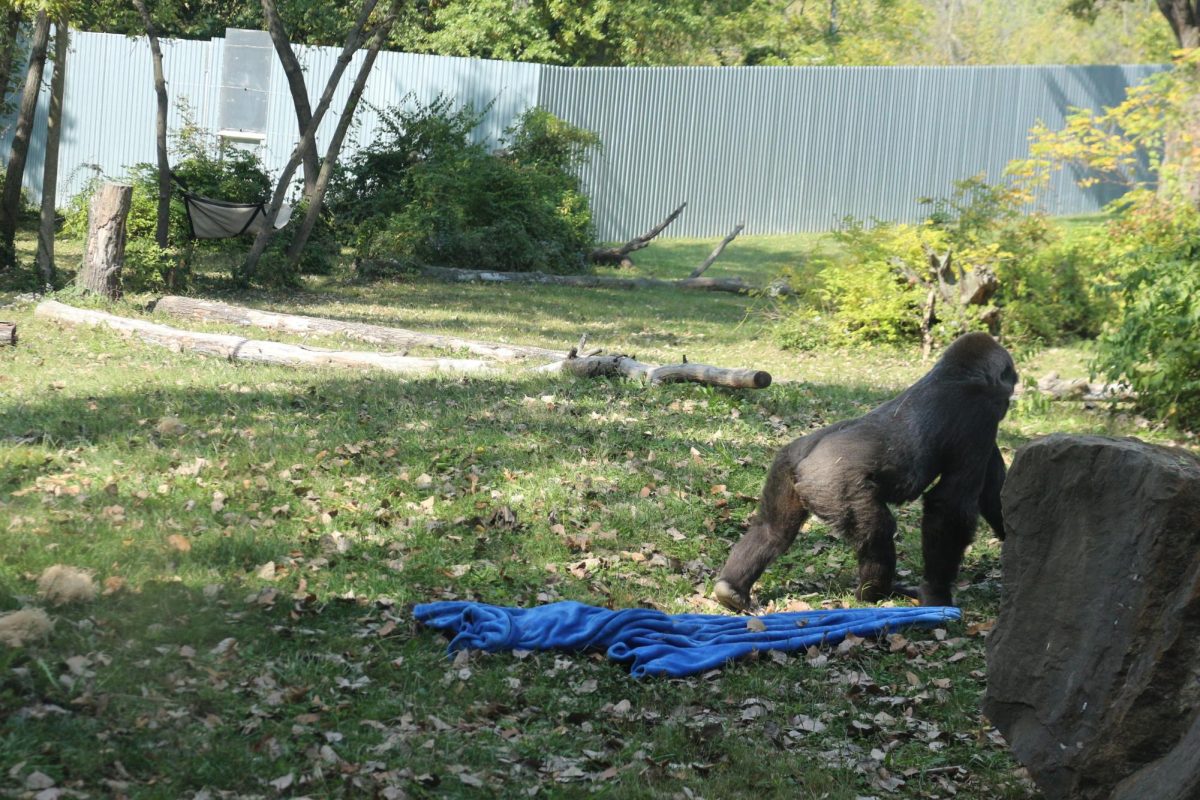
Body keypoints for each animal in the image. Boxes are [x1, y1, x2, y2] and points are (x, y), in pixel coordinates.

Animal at [715, 335, 1017, 609]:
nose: (1011, 399)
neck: (958, 372)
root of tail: (803, 463)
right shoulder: (979, 415)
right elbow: (951, 506)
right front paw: (937, 593)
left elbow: (995, 493)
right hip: (833, 487)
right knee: (878, 531)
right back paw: (875, 592)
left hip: (785, 466)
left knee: (773, 530)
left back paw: (731, 588)